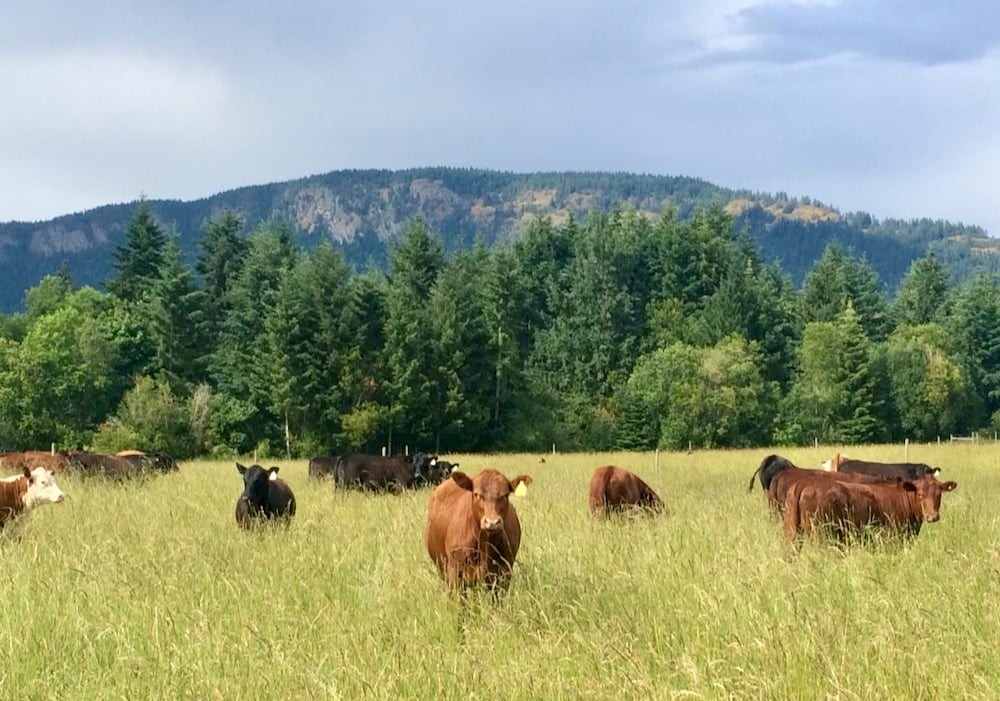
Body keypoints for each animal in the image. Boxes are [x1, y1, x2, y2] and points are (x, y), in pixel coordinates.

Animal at [783, 472, 958, 546]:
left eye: (939, 494)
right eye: (920, 495)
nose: (932, 516)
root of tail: (805, 482)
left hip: (792, 533)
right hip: (820, 535)